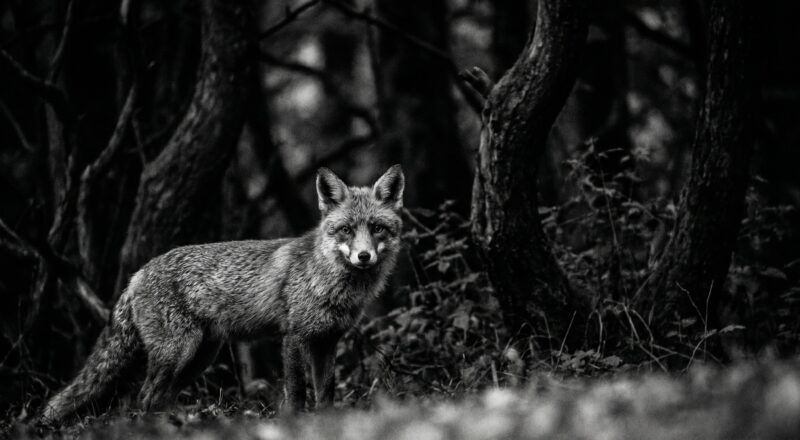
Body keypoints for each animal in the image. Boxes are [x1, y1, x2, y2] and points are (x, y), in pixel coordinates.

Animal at [38, 165, 405, 423]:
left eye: (377, 228)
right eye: (346, 229)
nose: (364, 257)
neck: (329, 282)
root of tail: (137, 274)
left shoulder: (327, 341)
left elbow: (325, 393)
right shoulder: (294, 336)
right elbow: (297, 392)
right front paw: (294, 424)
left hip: (199, 356)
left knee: (159, 398)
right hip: (177, 352)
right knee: (143, 397)